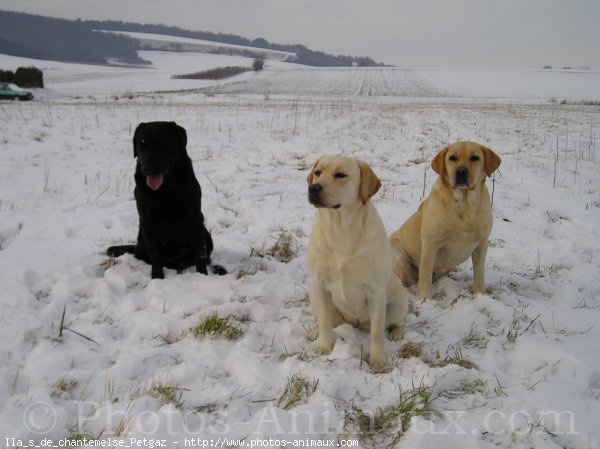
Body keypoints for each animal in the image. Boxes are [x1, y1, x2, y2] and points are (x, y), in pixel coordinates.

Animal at [107, 121, 223, 278]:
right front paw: (157, 278)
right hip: (142, 241)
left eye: (163, 143)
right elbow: (155, 255)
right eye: (142, 143)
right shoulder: (147, 221)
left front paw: (202, 276)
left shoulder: (194, 217)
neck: (166, 189)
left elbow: (200, 254)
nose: (147, 168)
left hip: (207, 236)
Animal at [308, 154, 410, 372]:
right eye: (317, 172)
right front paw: (324, 345)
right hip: (314, 295)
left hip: (398, 302)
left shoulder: (376, 291)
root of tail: (354, 323)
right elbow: (324, 320)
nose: (313, 188)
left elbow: (378, 332)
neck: (341, 230)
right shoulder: (319, 283)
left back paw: (397, 332)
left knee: (395, 321)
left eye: (340, 175)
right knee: (324, 318)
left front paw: (378, 359)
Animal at [390, 142, 502, 300]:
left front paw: (479, 294)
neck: (464, 206)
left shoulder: (482, 243)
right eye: (452, 158)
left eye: (475, 158)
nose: (461, 172)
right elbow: (425, 277)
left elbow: (479, 274)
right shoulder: (430, 244)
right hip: (399, 256)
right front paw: (425, 299)